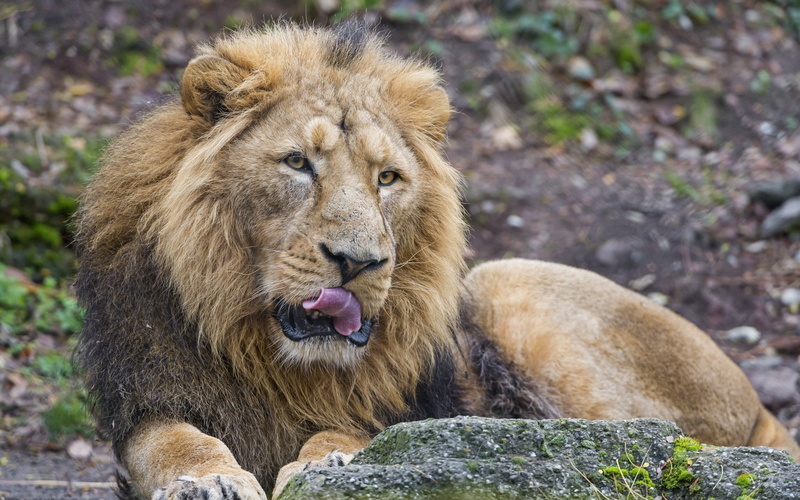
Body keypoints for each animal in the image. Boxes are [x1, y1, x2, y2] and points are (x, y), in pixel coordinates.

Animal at [74, 21, 800, 500]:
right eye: (298, 164)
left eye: (387, 178)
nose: (358, 262)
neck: (274, 360)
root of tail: (760, 408)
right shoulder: (144, 398)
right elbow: (174, 440)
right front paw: (210, 481)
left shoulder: (401, 413)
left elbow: (345, 434)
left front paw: (326, 466)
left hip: (504, 283)